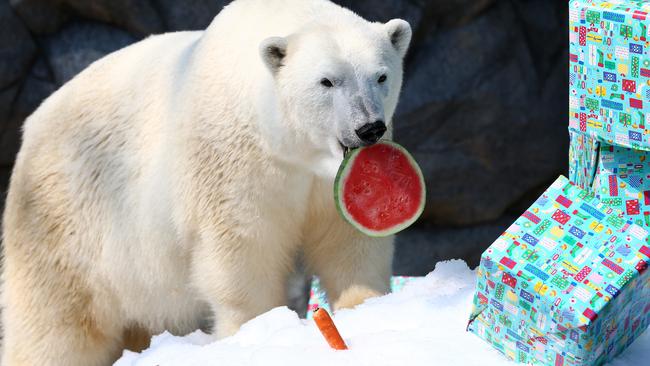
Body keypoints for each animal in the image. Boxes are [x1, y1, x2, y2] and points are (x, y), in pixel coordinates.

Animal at [1, 0, 410, 364]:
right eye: (326, 81)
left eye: (381, 76)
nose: (368, 128)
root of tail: (32, 127)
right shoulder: (236, 158)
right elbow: (242, 247)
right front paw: (252, 330)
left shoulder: (329, 182)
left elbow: (350, 240)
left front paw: (365, 310)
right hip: (67, 219)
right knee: (58, 325)